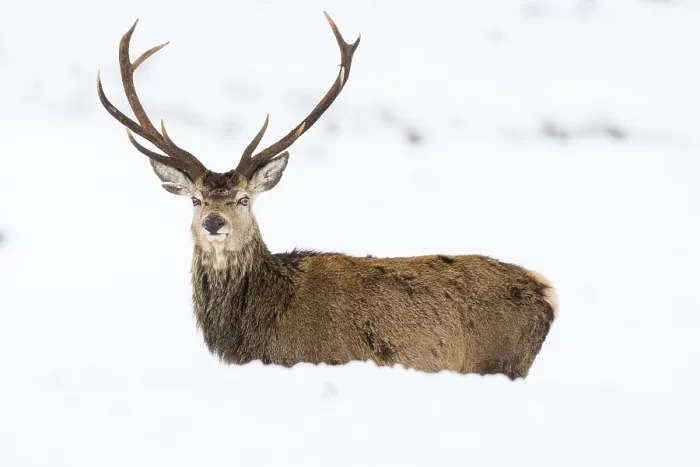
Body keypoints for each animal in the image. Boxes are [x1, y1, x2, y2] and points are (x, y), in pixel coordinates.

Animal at [96, 13, 558, 379]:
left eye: (244, 199)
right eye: (195, 199)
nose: (214, 222)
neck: (258, 330)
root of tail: (546, 293)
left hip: (498, 362)